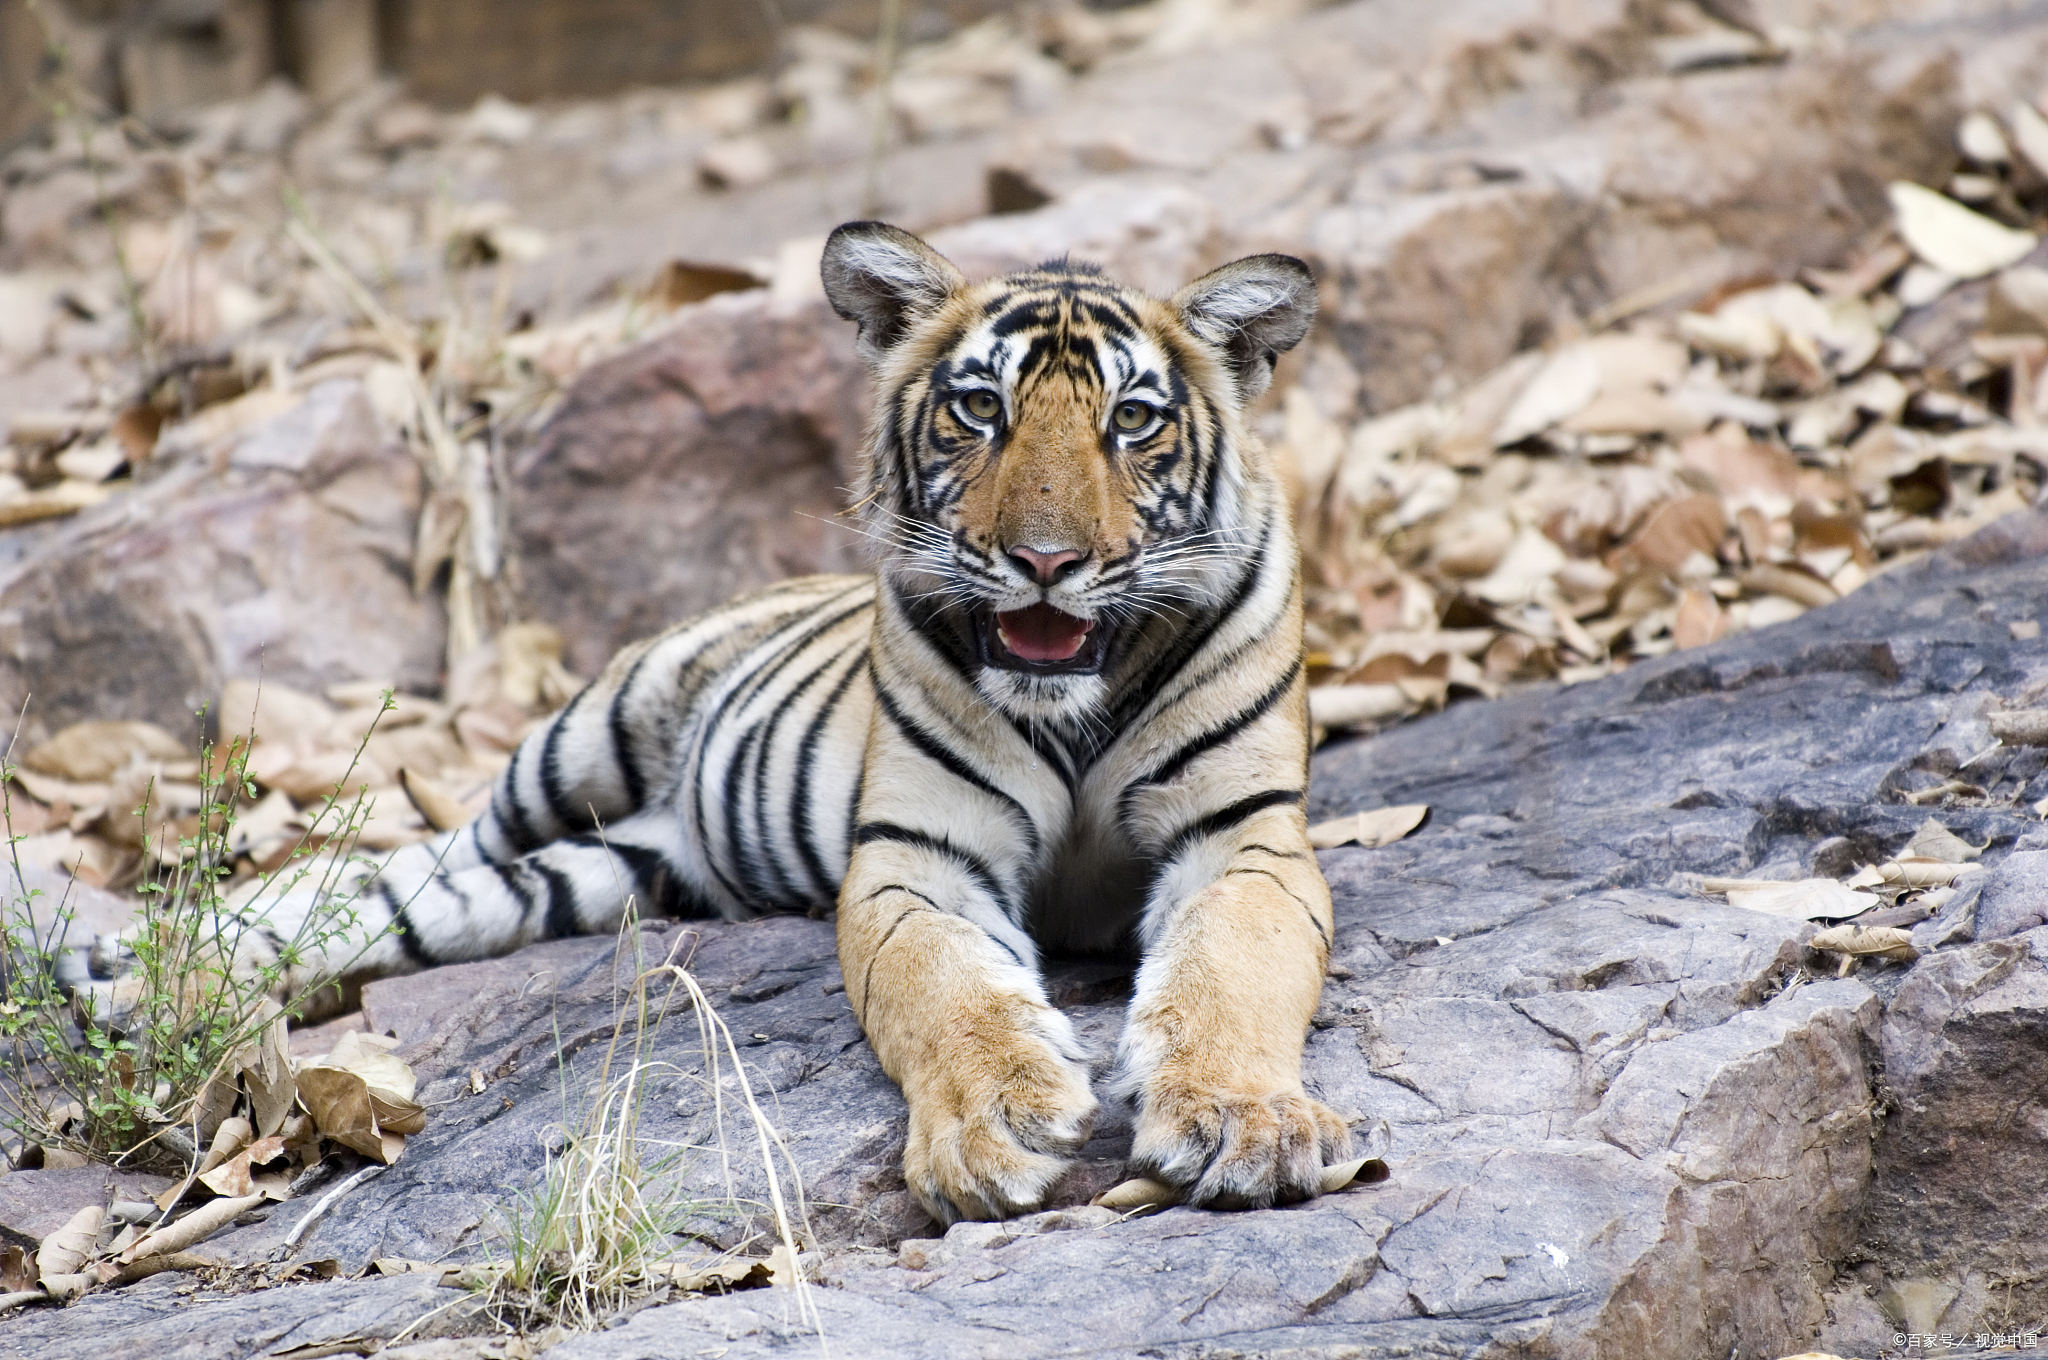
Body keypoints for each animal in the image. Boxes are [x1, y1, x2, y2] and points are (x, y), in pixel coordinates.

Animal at [119, 223, 1351, 1220]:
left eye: (1132, 420)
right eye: (980, 409)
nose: (1045, 562)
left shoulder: (1243, 837)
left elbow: (1231, 970)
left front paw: (1243, 1123)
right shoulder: (916, 853)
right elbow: (942, 987)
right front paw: (993, 1124)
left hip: (596, 876)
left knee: (417, 902)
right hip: (575, 749)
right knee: (400, 858)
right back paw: (140, 968)